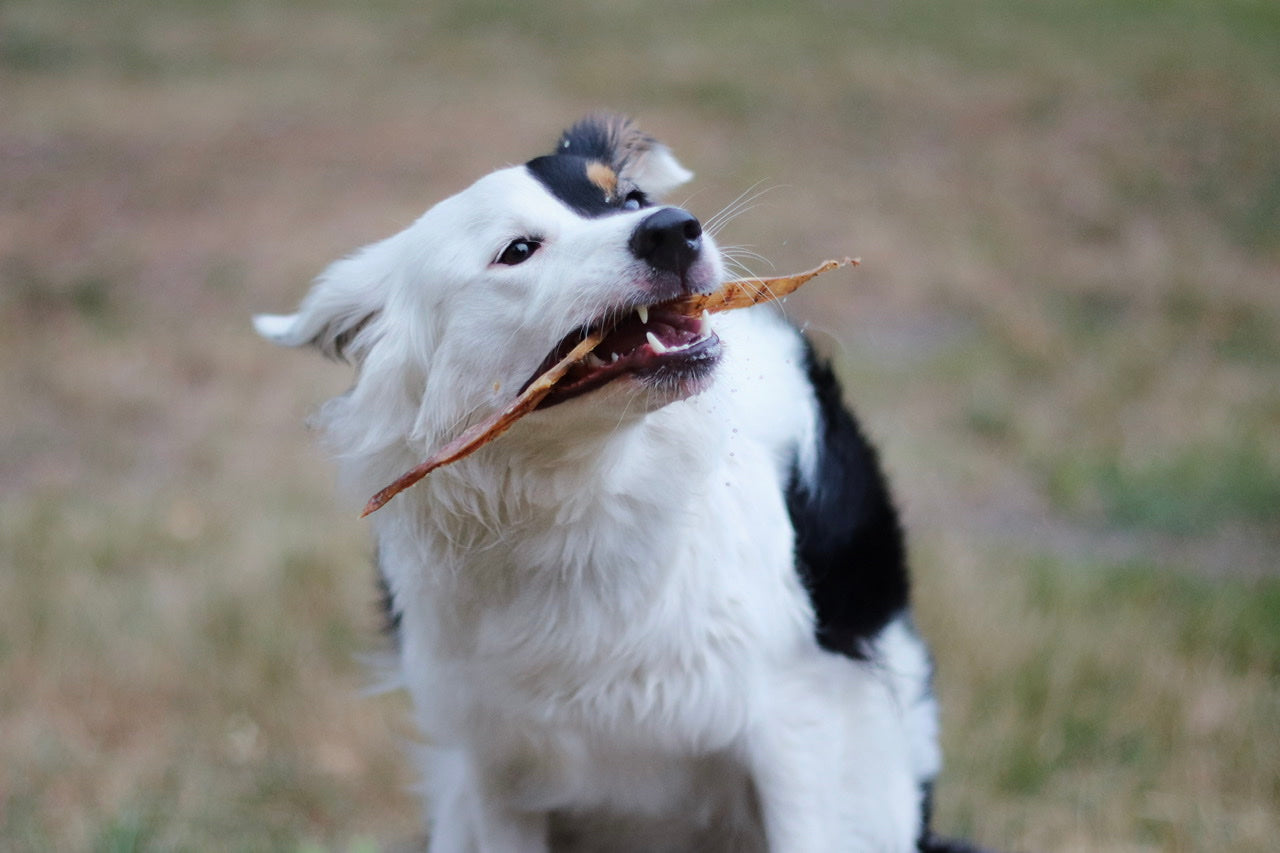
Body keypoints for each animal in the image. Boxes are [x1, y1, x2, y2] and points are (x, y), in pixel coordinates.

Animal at [257, 114, 977, 850]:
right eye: (517, 250)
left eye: (629, 199)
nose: (675, 229)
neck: (582, 494)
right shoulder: (495, 764)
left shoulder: (805, 722)